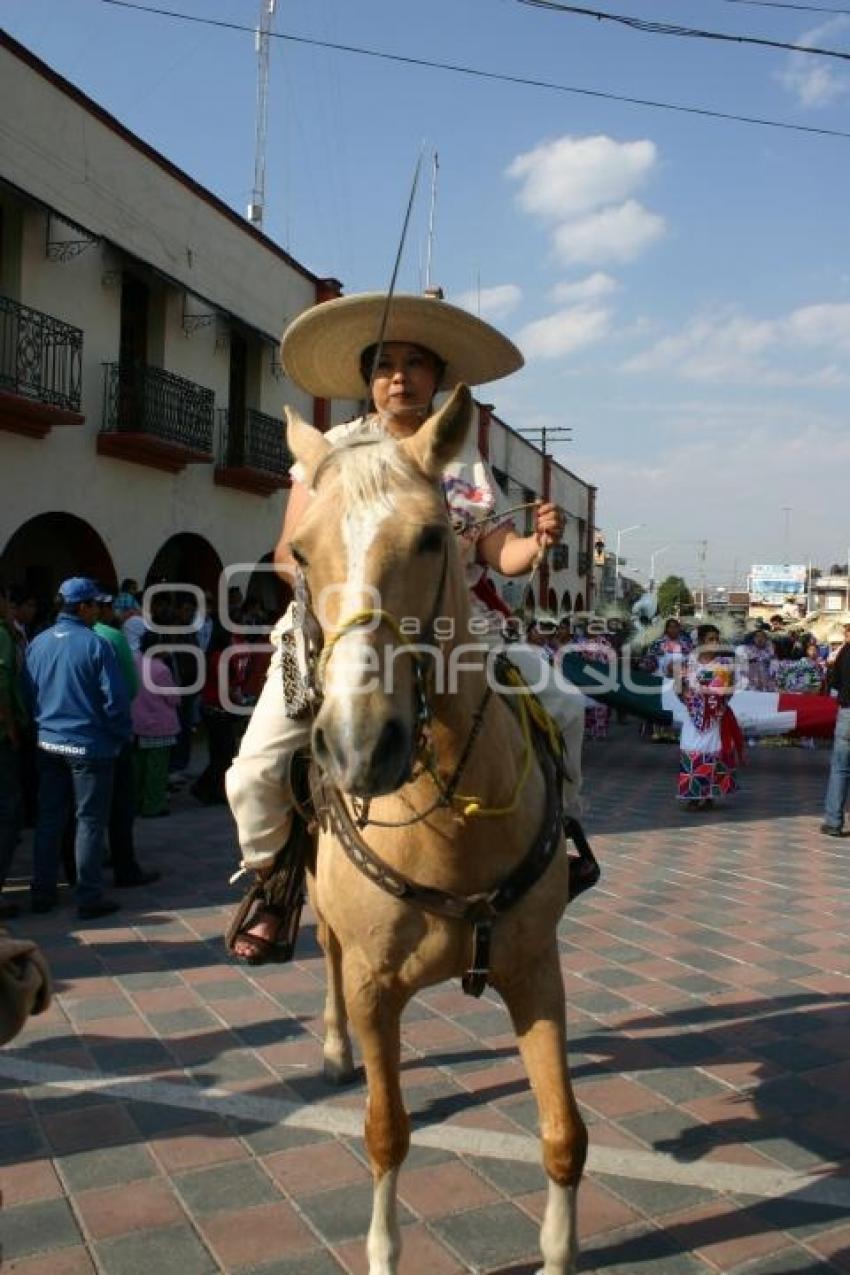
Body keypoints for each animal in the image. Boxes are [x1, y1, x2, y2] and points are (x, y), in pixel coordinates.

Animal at [285, 387, 586, 1275]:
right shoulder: (375, 984)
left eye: (430, 536)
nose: (360, 747)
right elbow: (386, 1130)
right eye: (301, 552)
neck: (452, 826)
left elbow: (564, 1132)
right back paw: (333, 1049)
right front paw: (384, 1251)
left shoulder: (535, 967)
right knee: (325, 958)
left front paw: (559, 1251)